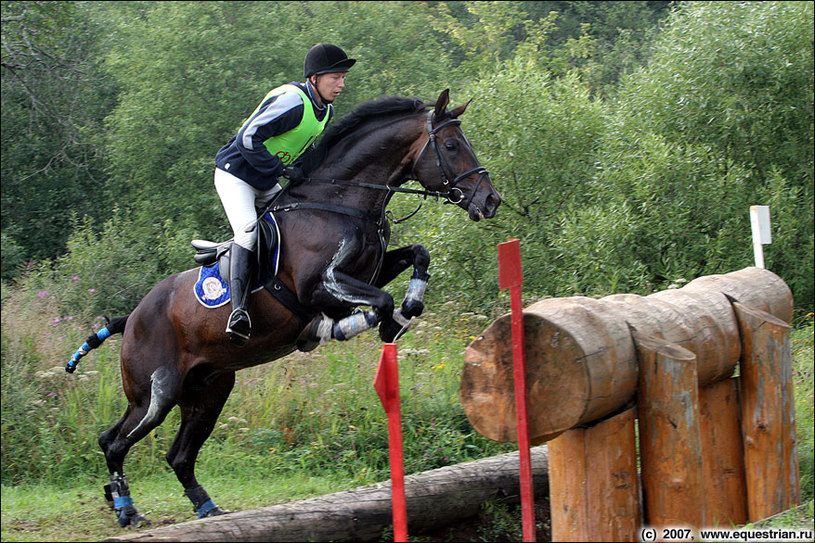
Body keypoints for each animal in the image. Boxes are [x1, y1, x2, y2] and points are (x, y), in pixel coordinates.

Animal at [68, 89, 504, 528]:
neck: (340, 201)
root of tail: (133, 317)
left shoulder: (370, 271)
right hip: (155, 393)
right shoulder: (319, 286)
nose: (491, 201)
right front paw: (340, 327)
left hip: (209, 390)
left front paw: (405, 312)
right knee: (114, 442)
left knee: (178, 454)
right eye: (451, 146)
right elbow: (379, 302)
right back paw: (127, 508)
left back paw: (204, 506)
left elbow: (418, 255)